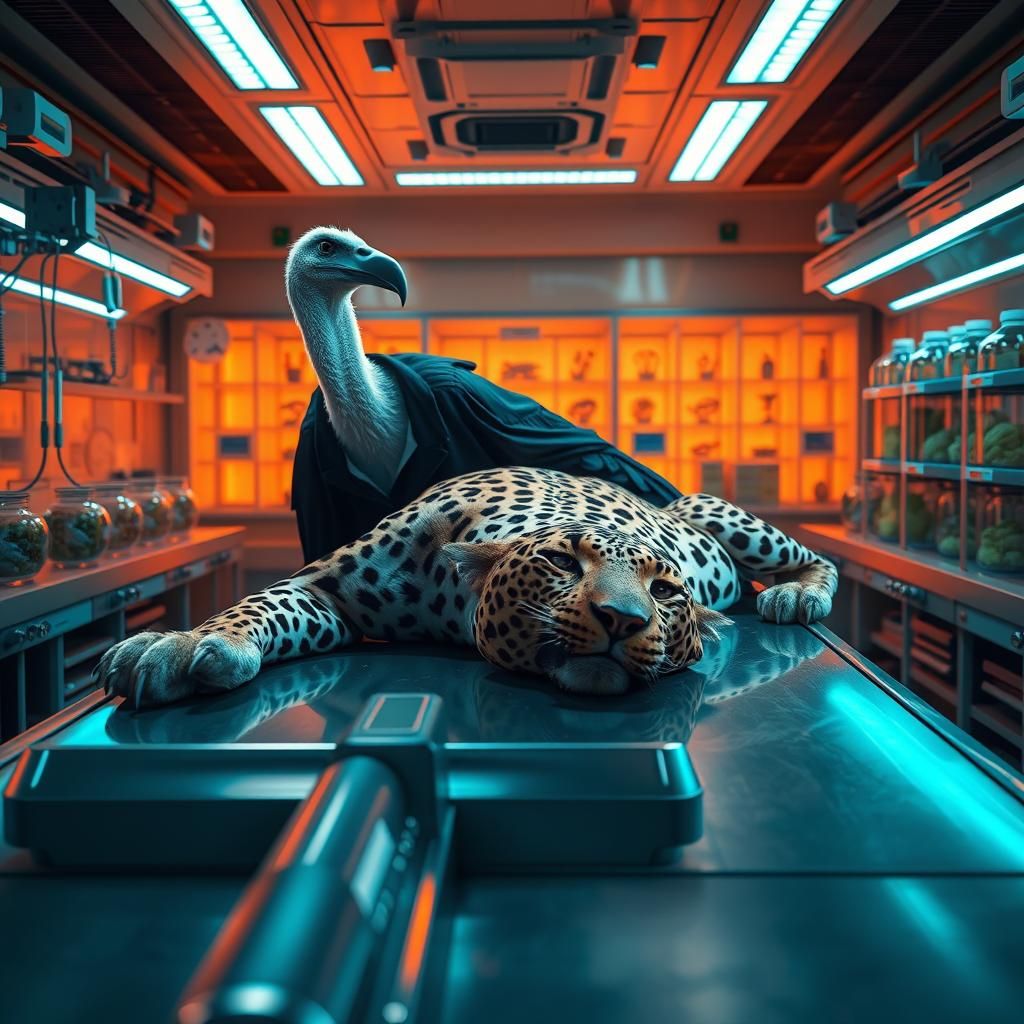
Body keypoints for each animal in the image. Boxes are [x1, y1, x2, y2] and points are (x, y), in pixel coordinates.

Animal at [95, 467, 838, 708]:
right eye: (563, 563)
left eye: (666, 594)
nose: (623, 619)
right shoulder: (322, 588)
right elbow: (260, 604)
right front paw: (178, 644)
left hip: (716, 510)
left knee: (814, 556)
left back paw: (795, 594)